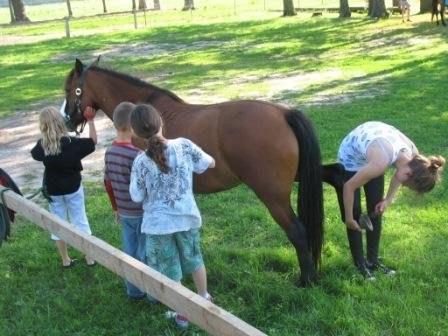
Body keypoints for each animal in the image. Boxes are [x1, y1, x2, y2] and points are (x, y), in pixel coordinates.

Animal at [62, 58, 322, 286]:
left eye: (71, 90)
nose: (67, 122)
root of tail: (284, 113)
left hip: (273, 198)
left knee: (297, 232)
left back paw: (306, 280)